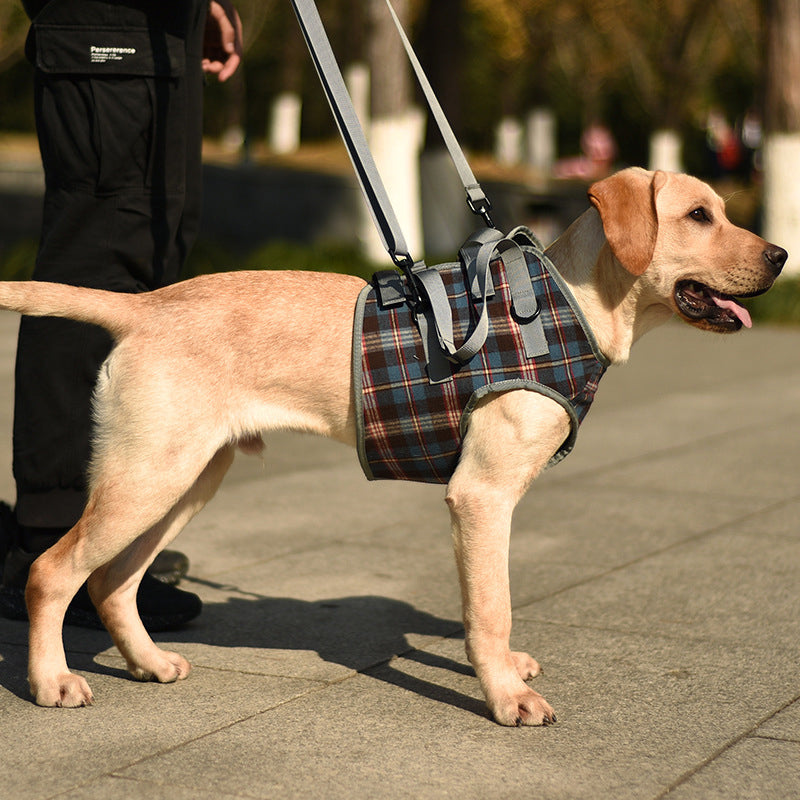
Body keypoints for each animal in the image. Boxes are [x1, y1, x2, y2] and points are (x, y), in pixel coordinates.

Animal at [0, 167, 788, 724]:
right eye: (699, 216)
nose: (783, 255)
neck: (567, 302)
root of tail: (144, 306)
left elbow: (492, 608)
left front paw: (506, 672)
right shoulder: (481, 496)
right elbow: (491, 606)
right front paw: (504, 698)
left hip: (186, 477)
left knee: (112, 581)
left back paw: (149, 663)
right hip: (149, 475)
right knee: (52, 571)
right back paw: (51, 681)